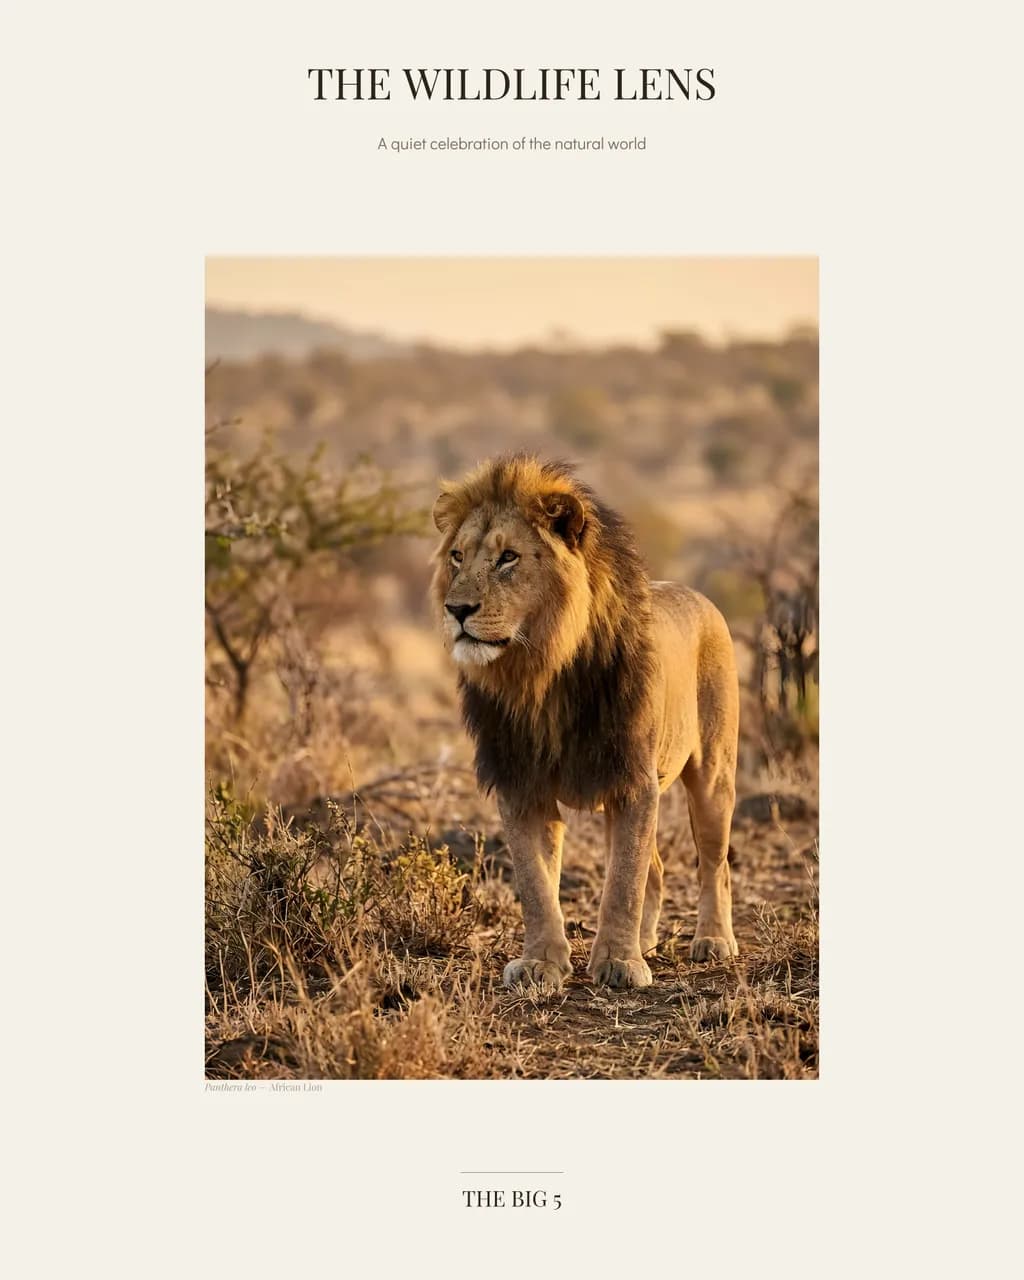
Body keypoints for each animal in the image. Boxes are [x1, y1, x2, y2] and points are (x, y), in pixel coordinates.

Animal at [431, 454, 739, 990]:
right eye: (456, 556)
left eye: (508, 557)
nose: (457, 609)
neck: (539, 672)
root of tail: (698, 596)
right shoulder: (521, 783)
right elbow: (535, 884)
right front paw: (541, 963)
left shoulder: (632, 779)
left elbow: (622, 882)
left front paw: (618, 962)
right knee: (657, 867)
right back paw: (647, 941)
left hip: (713, 777)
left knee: (712, 865)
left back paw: (713, 941)